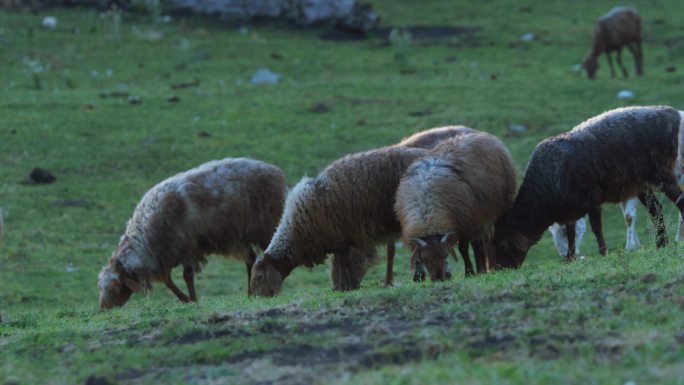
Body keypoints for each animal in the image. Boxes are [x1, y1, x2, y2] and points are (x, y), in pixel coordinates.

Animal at [99, 157, 286, 308]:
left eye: (115, 288)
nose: (103, 310)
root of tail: (273, 169)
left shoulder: (187, 248)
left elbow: (186, 276)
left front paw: (192, 299)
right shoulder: (167, 255)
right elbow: (168, 280)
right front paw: (186, 299)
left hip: (267, 224)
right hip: (237, 236)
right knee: (251, 259)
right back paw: (249, 293)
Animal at [246, 146, 428, 296]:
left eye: (260, 277)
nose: (256, 298)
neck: (297, 230)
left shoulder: (340, 236)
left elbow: (344, 261)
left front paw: (349, 285)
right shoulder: (338, 239)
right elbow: (343, 260)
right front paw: (346, 285)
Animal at [392, 131, 516, 280]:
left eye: (445, 254)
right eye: (425, 258)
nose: (439, 279)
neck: (428, 216)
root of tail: (482, 134)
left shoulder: (466, 224)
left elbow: (464, 249)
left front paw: (470, 272)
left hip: (491, 210)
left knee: (481, 243)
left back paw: (484, 268)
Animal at [494, 105, 684, 268]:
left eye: (503, 244)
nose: (502, 268)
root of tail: (672, 113)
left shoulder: (592, 199)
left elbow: (596, 228)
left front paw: (602, 252)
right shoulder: (569, 210)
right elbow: (571, 232)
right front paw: (571, 257)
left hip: (662, 173)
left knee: (679, 200)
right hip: (641, 183)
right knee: (656, 210)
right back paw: (661, 244)